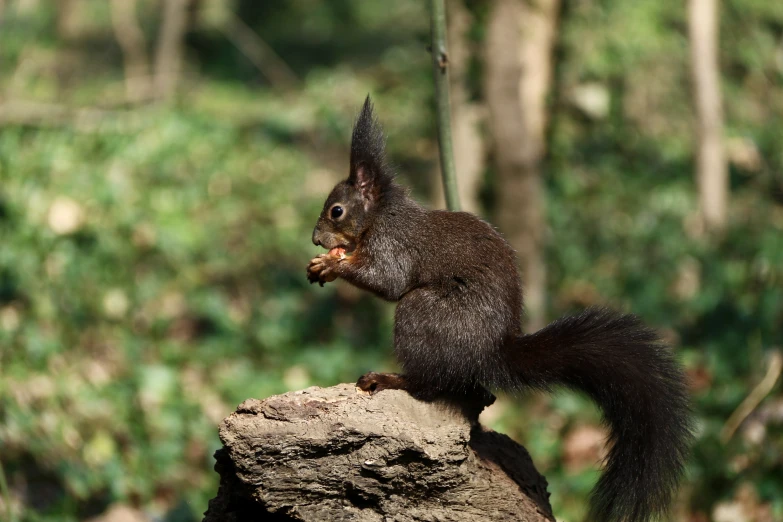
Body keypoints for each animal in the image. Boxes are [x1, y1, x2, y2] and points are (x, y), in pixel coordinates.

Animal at [306, 96, 692, 520]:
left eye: (336, 211)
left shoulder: (394, 246)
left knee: (430, 384)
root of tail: (490, 353)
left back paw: (392, 379)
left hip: (423, 313)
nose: (316, 239)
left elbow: (388, 280)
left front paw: (333, 266)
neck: (380, 215)